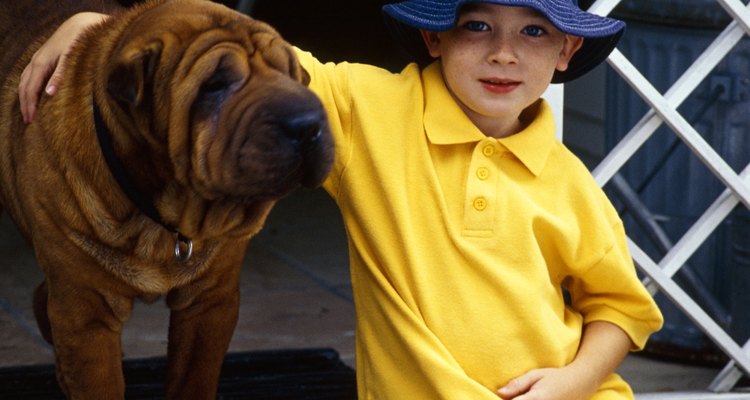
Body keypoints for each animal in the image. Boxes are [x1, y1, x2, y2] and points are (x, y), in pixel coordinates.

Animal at [0, 0, 334, 396]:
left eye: (289, 73)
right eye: (214, 85)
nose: (307, 124)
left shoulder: (209, 301)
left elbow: (193, 380)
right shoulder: (86, 311)